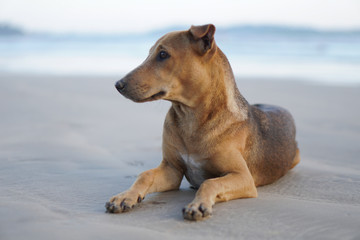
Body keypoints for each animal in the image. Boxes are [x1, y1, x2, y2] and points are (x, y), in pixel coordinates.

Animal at [105, 24, 300, 221]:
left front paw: (198, 205)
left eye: (163, 54)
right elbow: (145, 175)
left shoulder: (243, 177)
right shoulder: (172, 170)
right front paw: (125, 197)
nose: (118, 84)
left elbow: (210, 182)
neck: (190, 119)